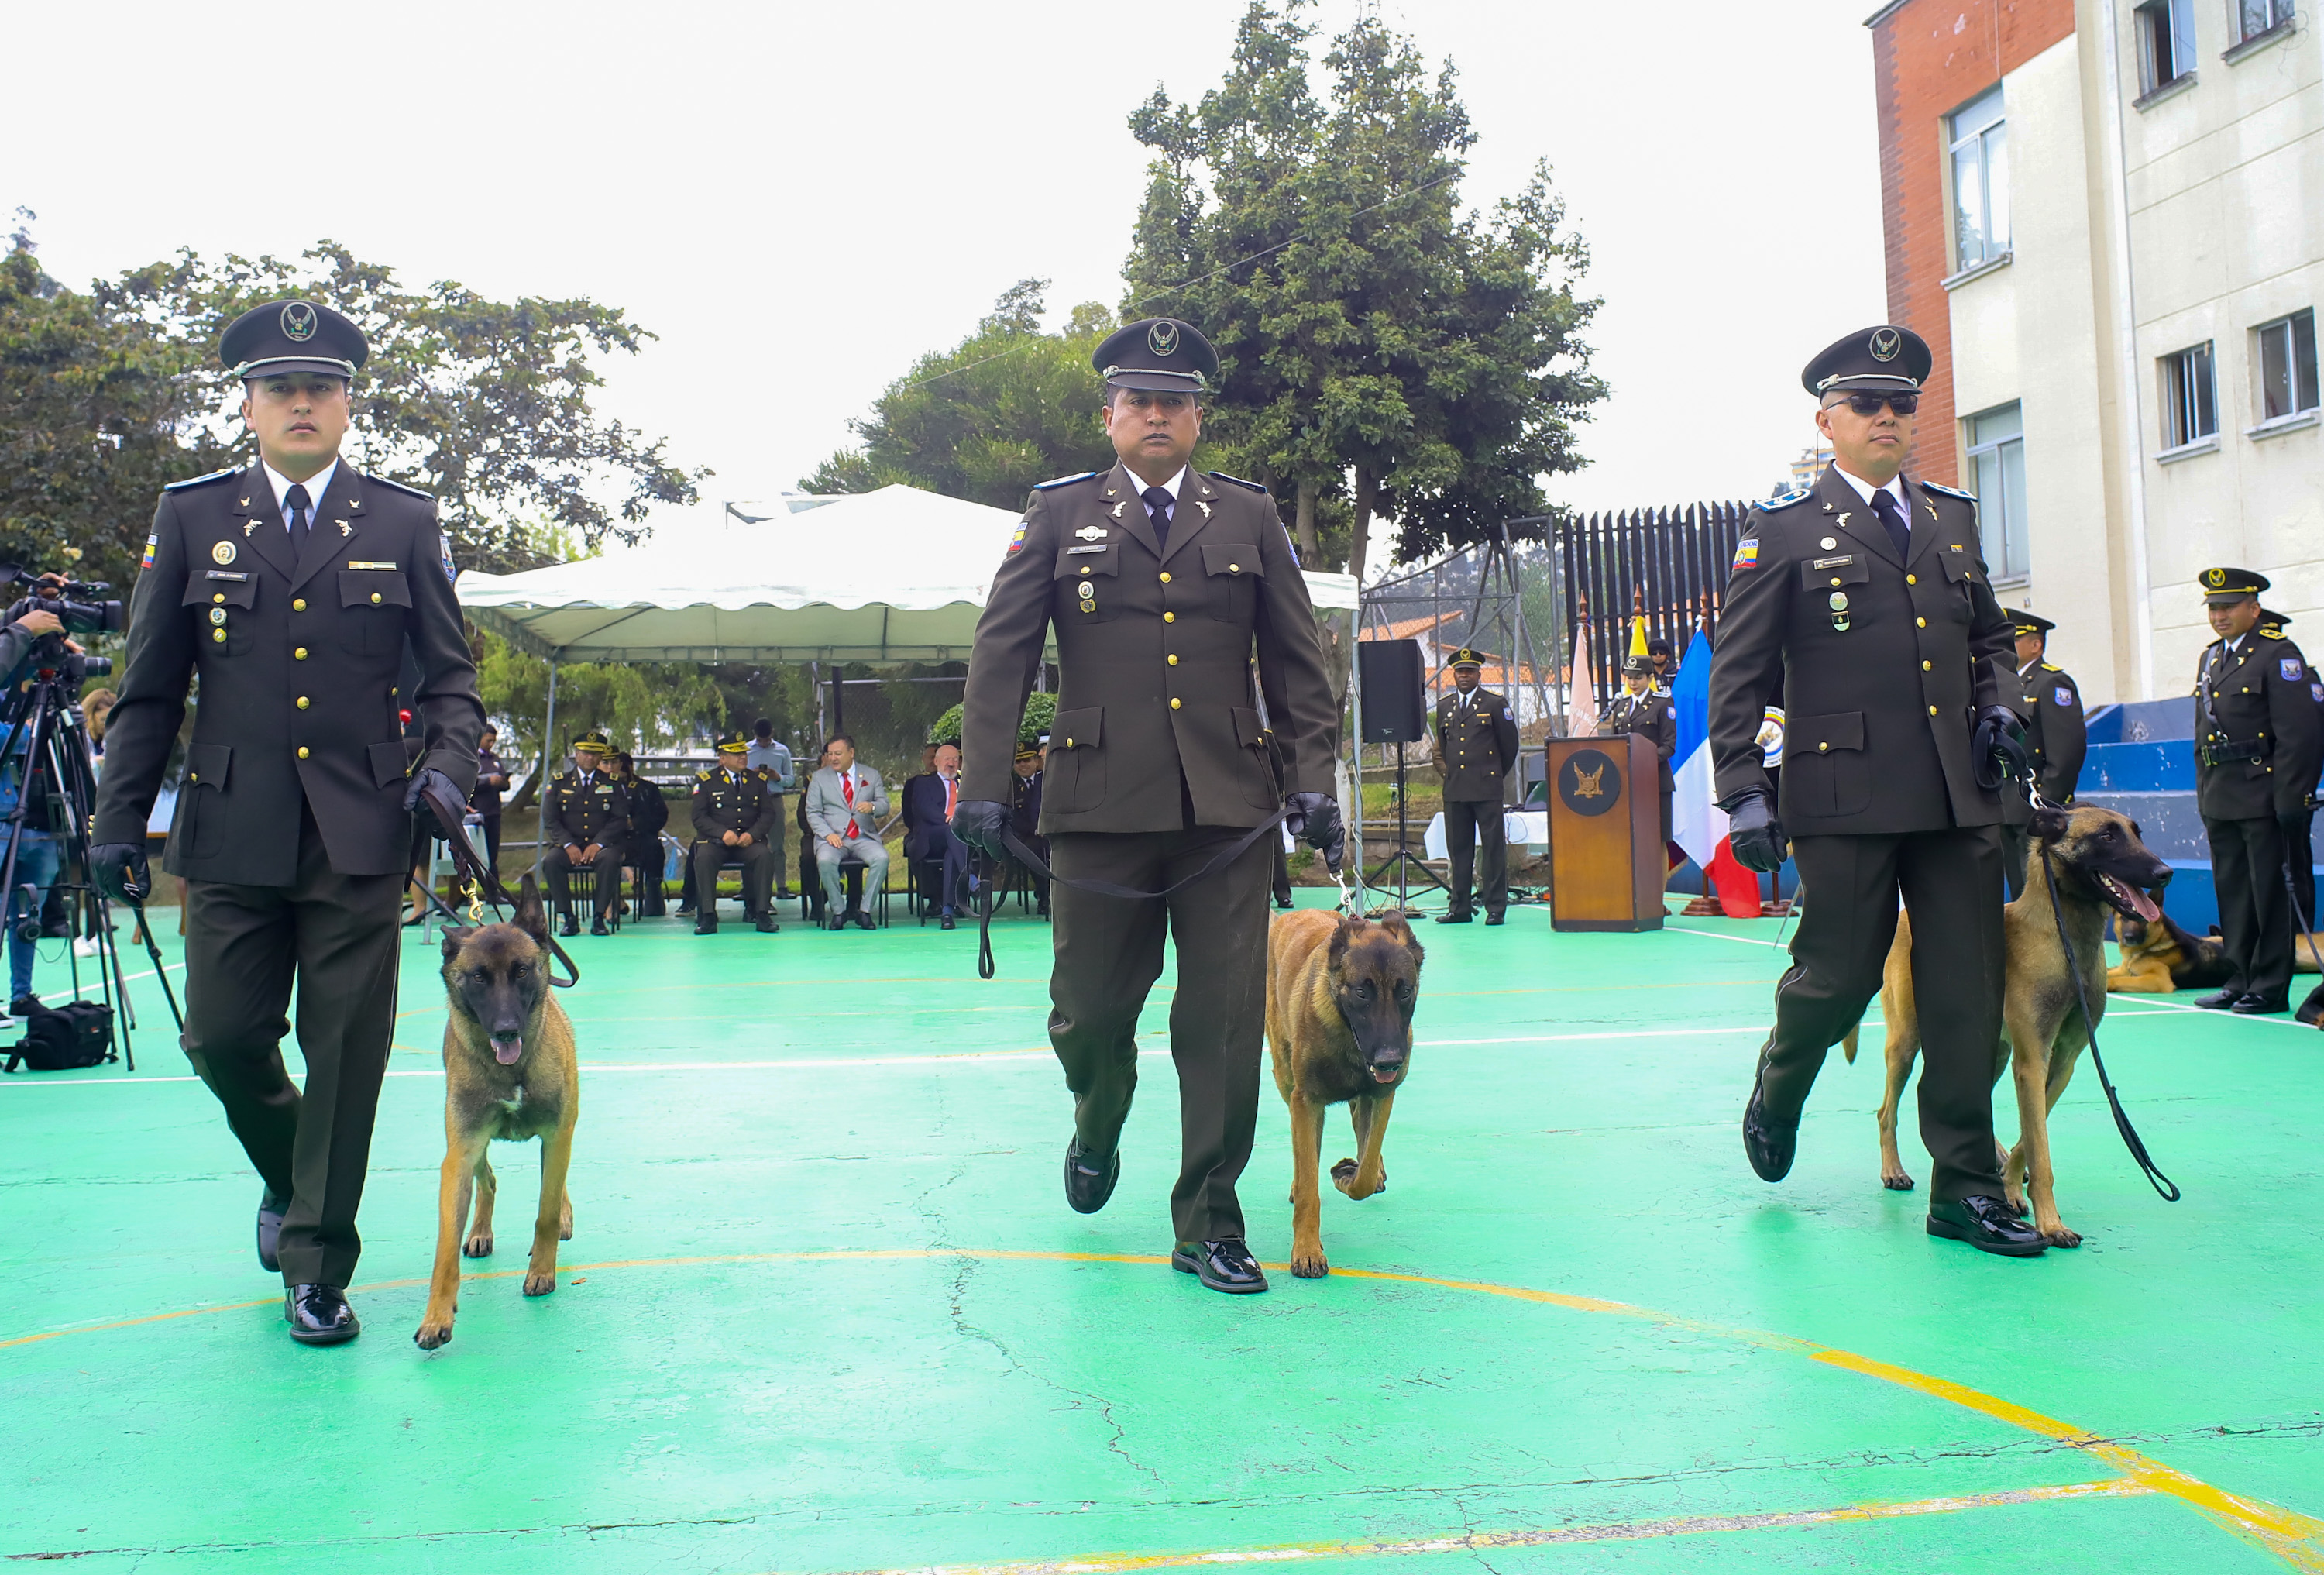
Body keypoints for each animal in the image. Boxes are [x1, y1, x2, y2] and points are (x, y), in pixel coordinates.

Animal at [411, 878, 574, 1357]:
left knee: (556, 1186)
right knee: (489, 1181)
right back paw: (481, 1230)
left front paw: (543, 1271)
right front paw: (437, 1316)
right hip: (474, 1145)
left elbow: (545, 1212)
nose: (506, 1030)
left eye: (521, 971)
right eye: (479, 977)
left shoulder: (557, 1134)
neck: (512, 1070)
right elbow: (445, 1246)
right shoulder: (460, 1153)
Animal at [1264, 915, 1422, 1282]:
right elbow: (1309, 1185)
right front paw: (1307, 1251)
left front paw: (1351, 1174)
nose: (1390, 1061)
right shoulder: (1306, 1103)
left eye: (1405, 991)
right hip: (1285, 1080)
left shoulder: (1381, 1095)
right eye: (1362, 992)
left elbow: (1365, 1169)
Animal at [1841, 808, 2166, 1254]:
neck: (2064, 940)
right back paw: (1893, 1169)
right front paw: (2051, 1224)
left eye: (2138, 833)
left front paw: (2010, 1185)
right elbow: (2041, 1151)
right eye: (2106, 836)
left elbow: (2031, 1138)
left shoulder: (2062, 1063)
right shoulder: (2032, 1061)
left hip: (1993, 1054)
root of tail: (1906, 915)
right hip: (1907, 1045)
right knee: (1885, 1111)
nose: (2166, 873)